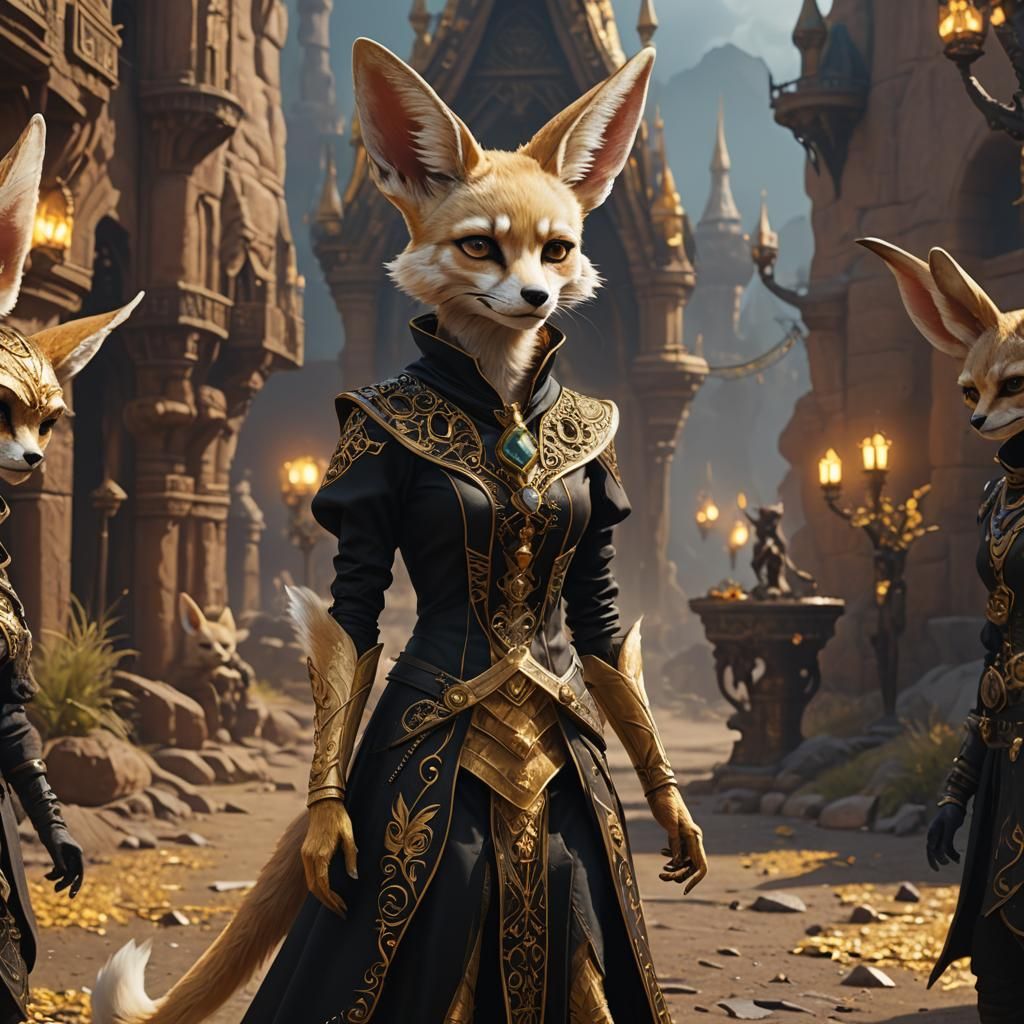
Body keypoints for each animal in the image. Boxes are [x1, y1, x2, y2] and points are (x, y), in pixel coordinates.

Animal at [90, 34, 656, 1024]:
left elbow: (601, 623)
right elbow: (351, 617)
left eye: (559, 248)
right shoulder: (361, 475)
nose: (537, 298)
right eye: (480, 246)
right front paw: (325, 831)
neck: (500, 397)